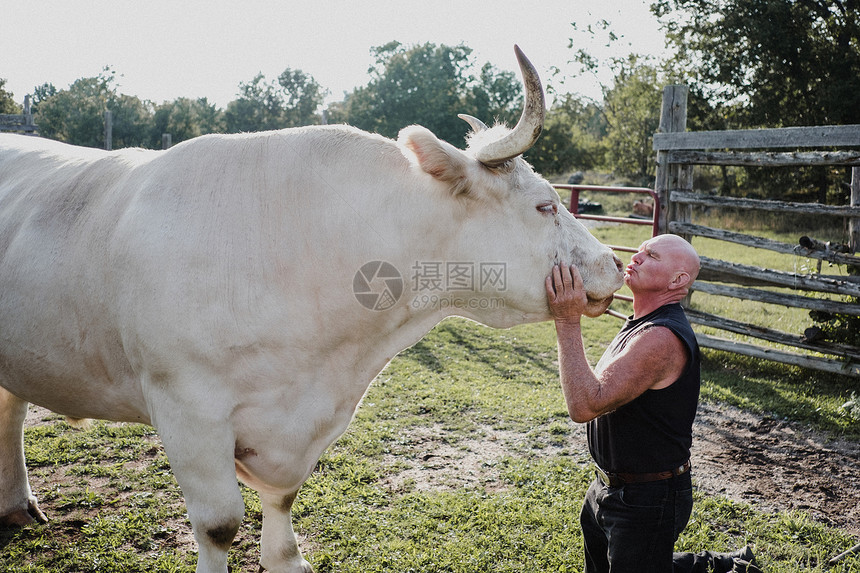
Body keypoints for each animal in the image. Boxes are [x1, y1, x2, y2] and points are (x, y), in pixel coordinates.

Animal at [0, 47, 620, 568]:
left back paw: (17, 503)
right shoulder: (186, 407)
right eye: (544, 206)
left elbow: (282, 505)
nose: (614, 265)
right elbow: (220, 525)